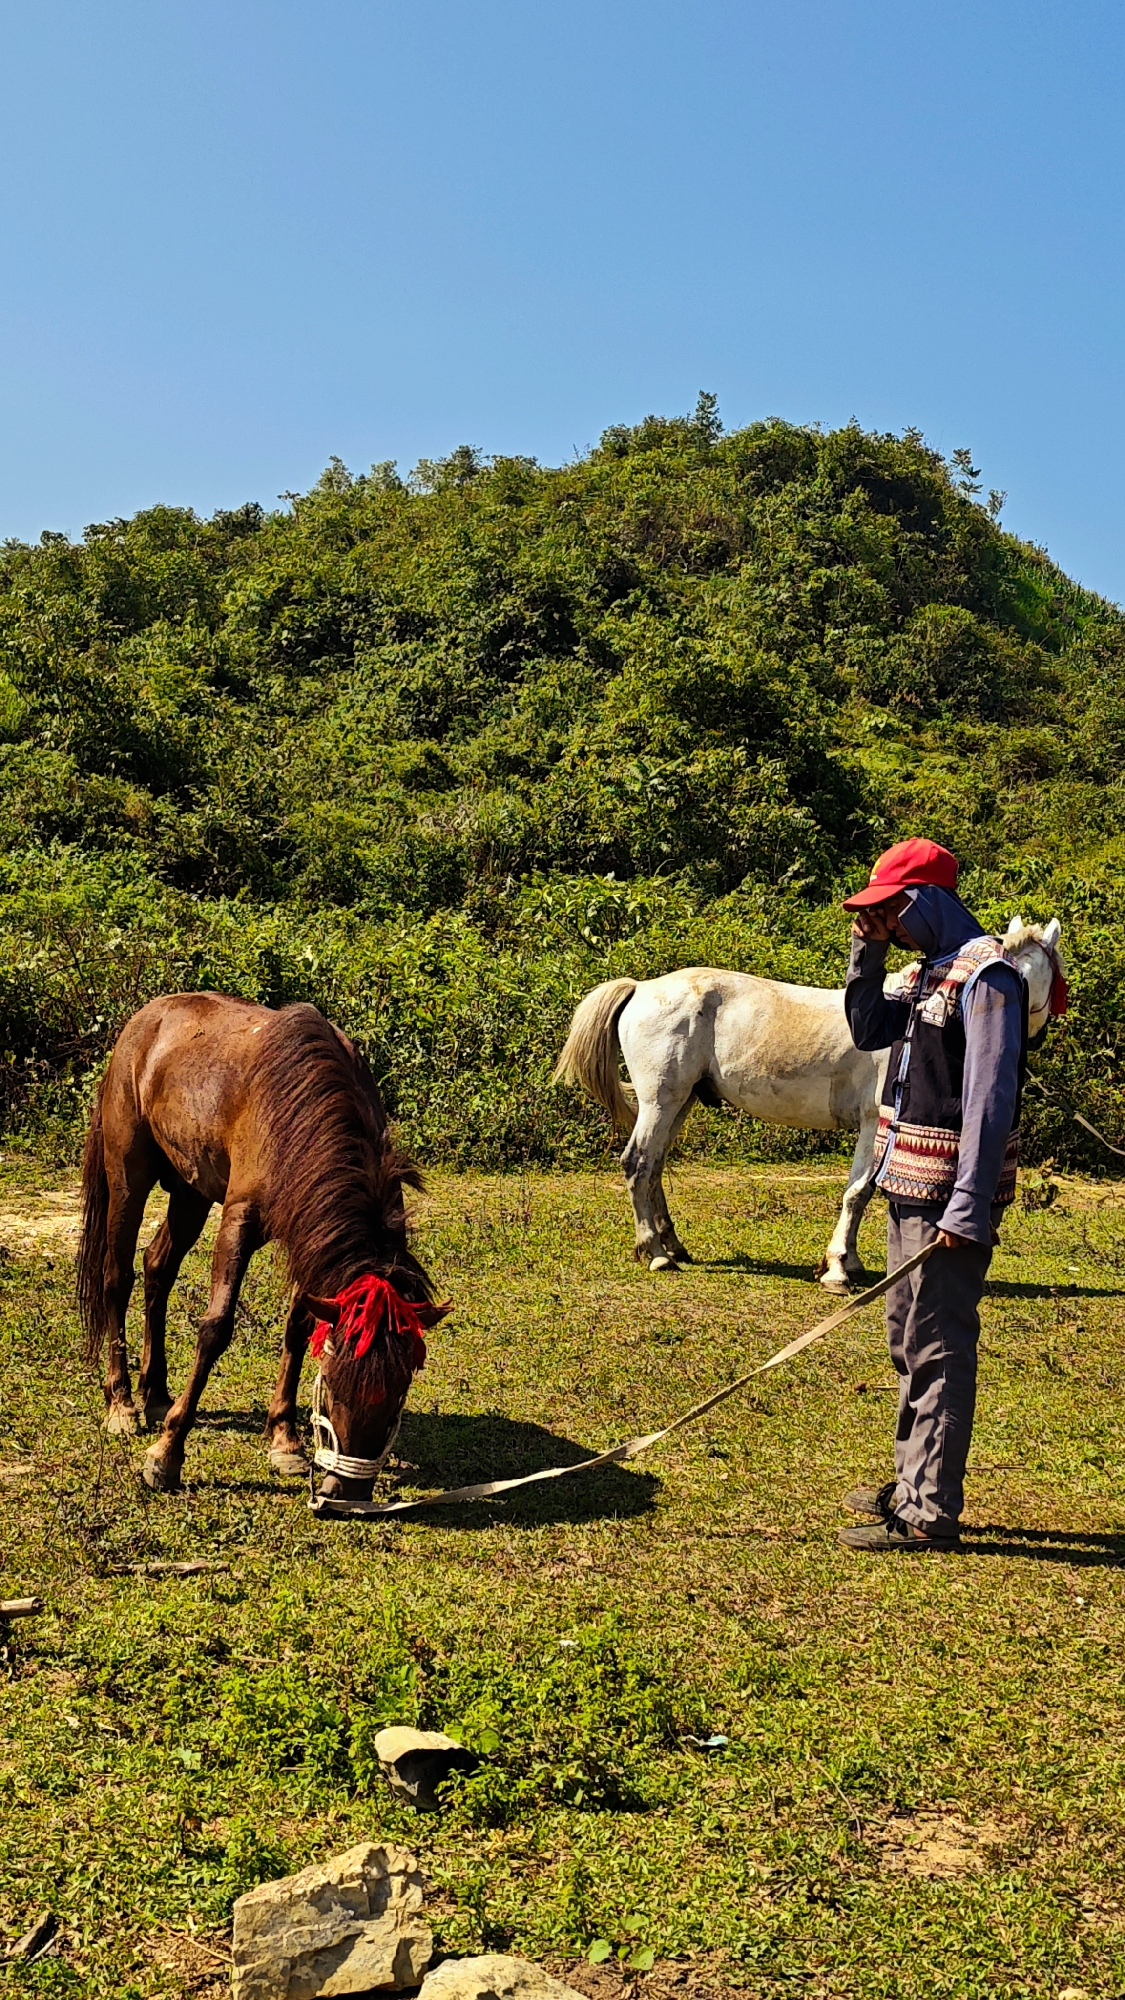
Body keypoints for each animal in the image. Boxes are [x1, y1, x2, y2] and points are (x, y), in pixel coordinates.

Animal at [76, 993, 448, 1502]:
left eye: (399, 1393)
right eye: (333, 1384)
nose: (346, 1492)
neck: (303, 1110)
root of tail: (145, 1018)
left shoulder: (309, 1234)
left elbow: (299, 1327)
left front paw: (284, 1439)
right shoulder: (238, 1221)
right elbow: (215, 1330)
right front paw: (166, 1455)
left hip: (190, 1192)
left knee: (158, 1268)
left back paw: (156, 1394)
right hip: (127, 1179)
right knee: (117, 1279)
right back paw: (122, 1404)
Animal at [554, 917, 1066, 1288]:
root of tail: (642, 987)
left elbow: (862, 1195)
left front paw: (850, 1261)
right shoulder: (874, 1125)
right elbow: (858, 1192)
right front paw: (838, 1268)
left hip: (678, 1105)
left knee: (655, 1167)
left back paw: (673, 1246)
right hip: (661, 1101)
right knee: (638, 1164)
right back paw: (656, 1254)